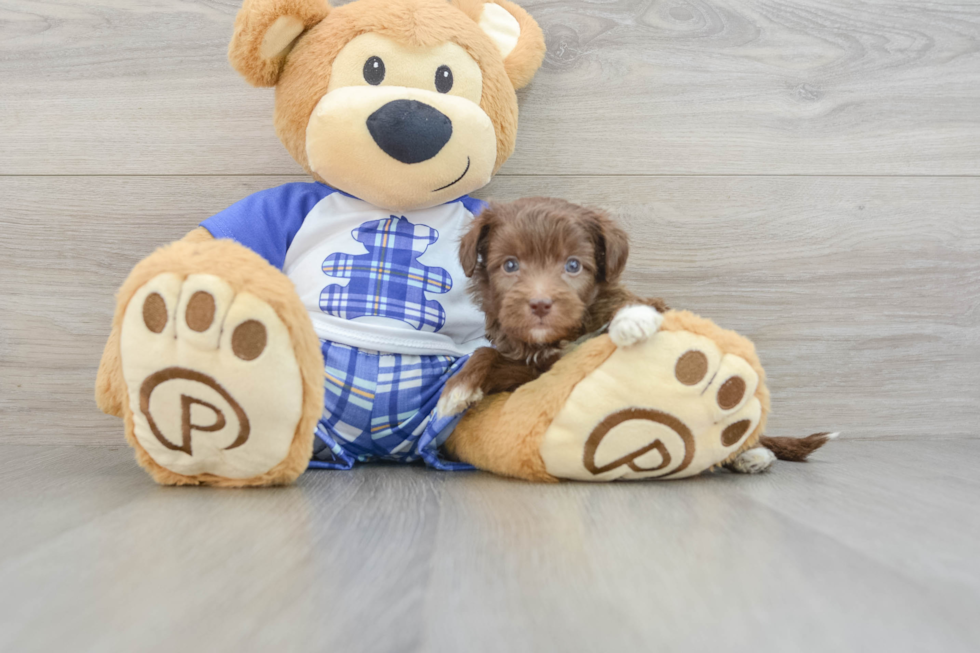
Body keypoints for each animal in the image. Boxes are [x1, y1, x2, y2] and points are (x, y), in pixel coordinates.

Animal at [440, 196, 668, 416]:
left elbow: (634, 304)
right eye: (510, 265)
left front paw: (634, 317)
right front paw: (458, 387)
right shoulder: (531, 373)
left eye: (573, 265)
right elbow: (486, 352)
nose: (540, 305)